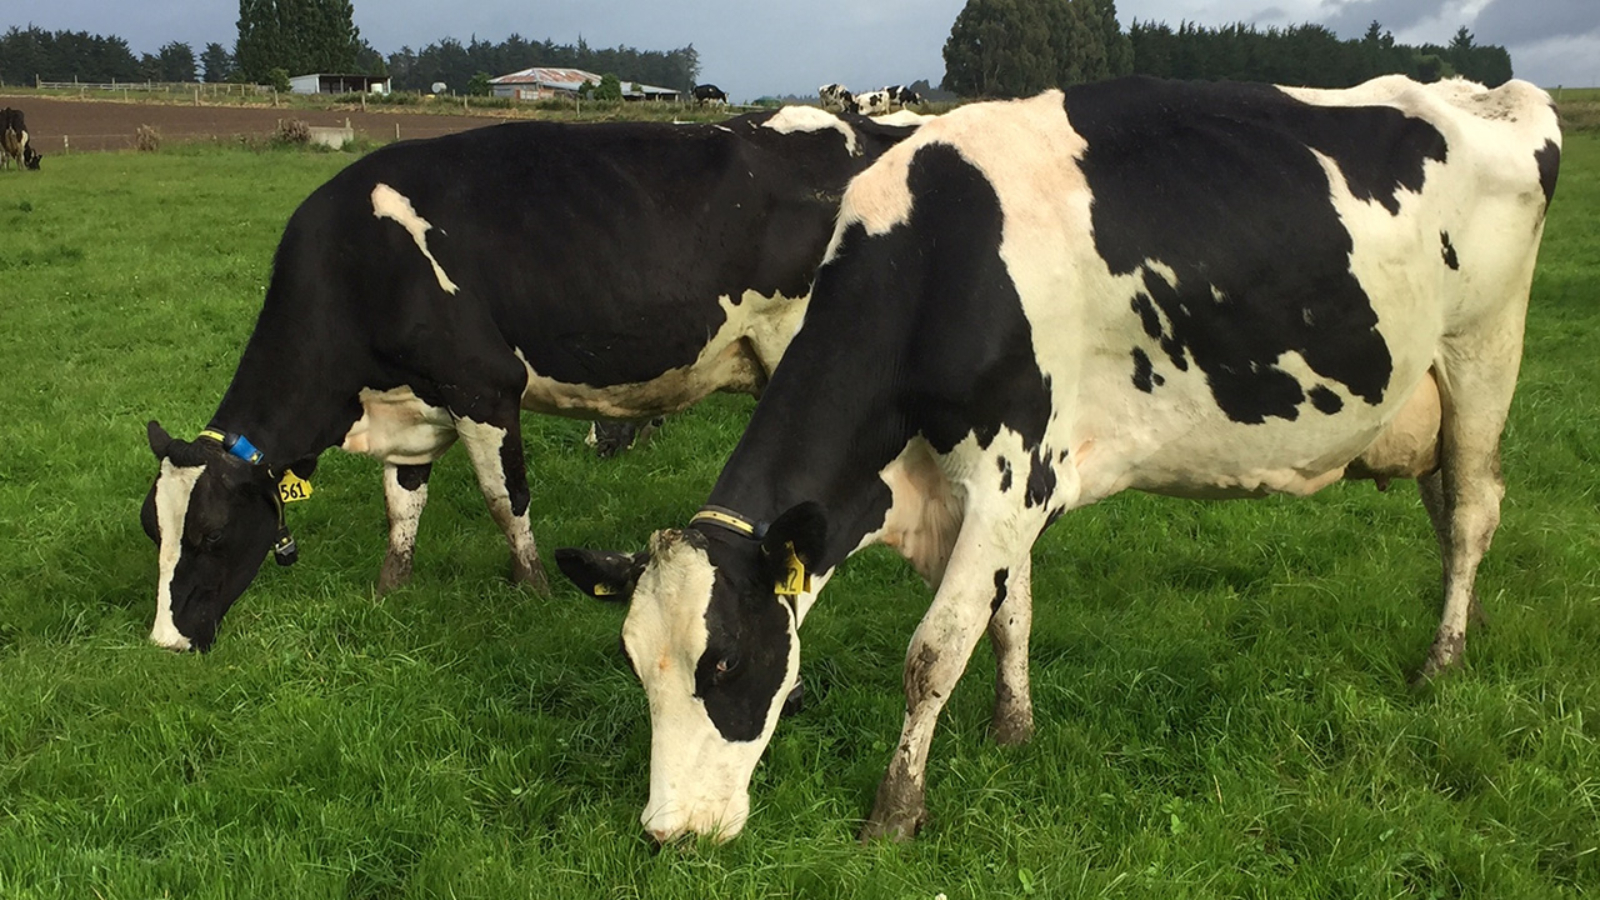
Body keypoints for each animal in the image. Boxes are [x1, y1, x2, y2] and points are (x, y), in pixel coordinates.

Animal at [141, 107, 923, 652]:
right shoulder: (414, 406)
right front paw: (390, 590)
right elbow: (402, 506)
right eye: (155, 531)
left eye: (212, 536)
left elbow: (504, 499)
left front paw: (534, 590)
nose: (166, 643)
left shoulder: (483, 388)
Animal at [555, 75, 1562, 844]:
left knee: (1474, 512)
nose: (669, 833)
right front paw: (1014, 731)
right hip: (1425, 402)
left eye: (725, 665)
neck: (940, 260)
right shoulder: (1002, 492)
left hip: (1484, 356)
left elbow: (935, 650)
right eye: (635, 666)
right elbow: (1011, 616)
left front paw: (896, 811)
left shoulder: (1009, 474)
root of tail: (1485, 93)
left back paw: (1441, 662)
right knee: (1447, 509)